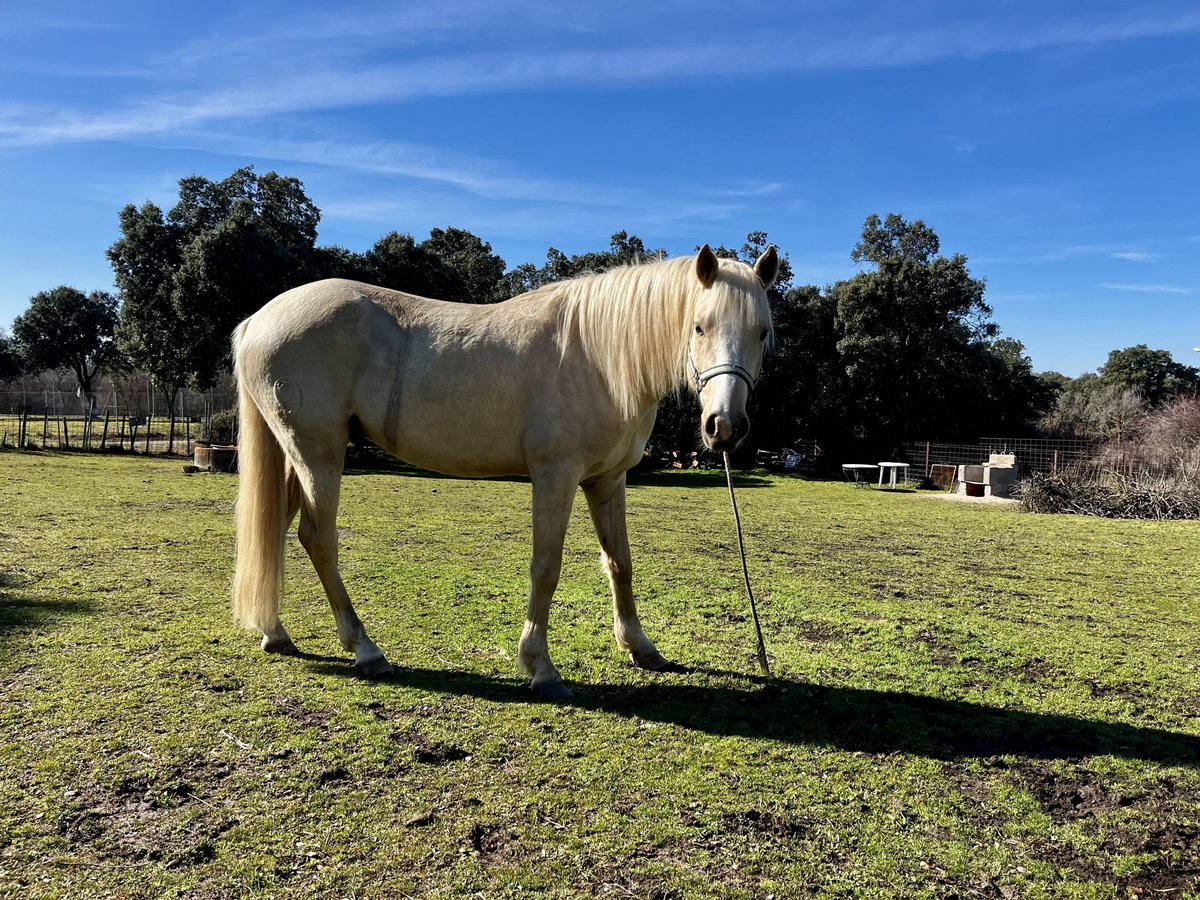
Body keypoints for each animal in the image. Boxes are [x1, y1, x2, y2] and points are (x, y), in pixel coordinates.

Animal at [231, 244, 777, 705]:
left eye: (762, 332)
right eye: (700, 327)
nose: (725, 427)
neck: (599, 355)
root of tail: (259, 319)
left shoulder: (608, 480)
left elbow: (619, 563)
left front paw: (641, 647)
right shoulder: (555, 476)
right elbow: (547, 567)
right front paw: (541, 667)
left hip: (296, 455)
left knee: (276, 528)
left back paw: (276, 633)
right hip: (318, 454)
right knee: (317, 538)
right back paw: (366, 649)